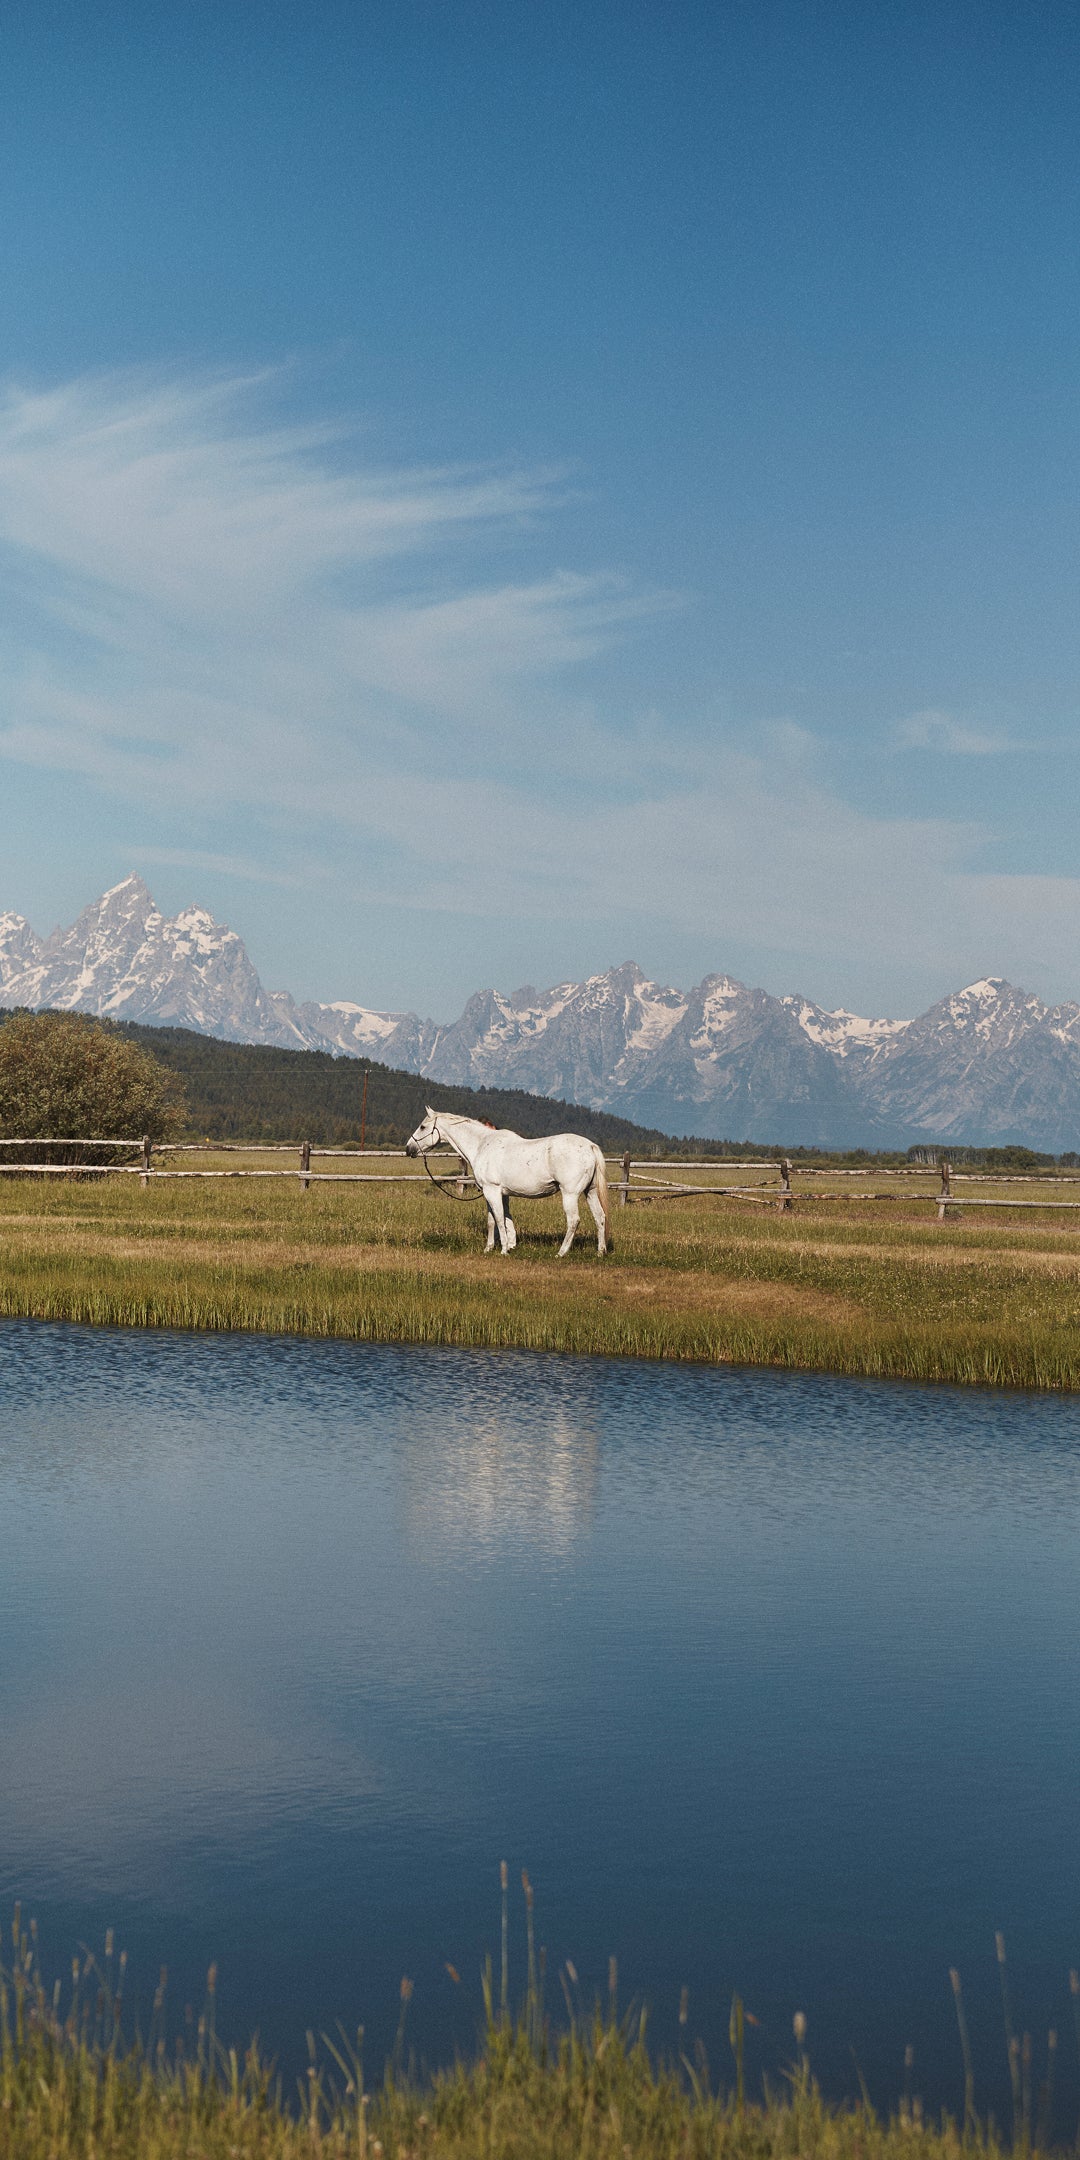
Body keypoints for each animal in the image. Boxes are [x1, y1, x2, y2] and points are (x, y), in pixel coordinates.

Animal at [405, 1108, 612, 1257]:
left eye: (422, 1127)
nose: (409, 1149)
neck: (482, 1145)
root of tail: (590, 1146)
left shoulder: (492, 1191)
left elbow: (498, 1219)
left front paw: (503, 1250)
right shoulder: (499, 1194)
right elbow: (497, 1220)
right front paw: (494, 1247)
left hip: (570, 1194)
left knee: (573, 1221)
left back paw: (561, 1253)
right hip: (590, 1192)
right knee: (600, 1217)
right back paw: (600, 1252)